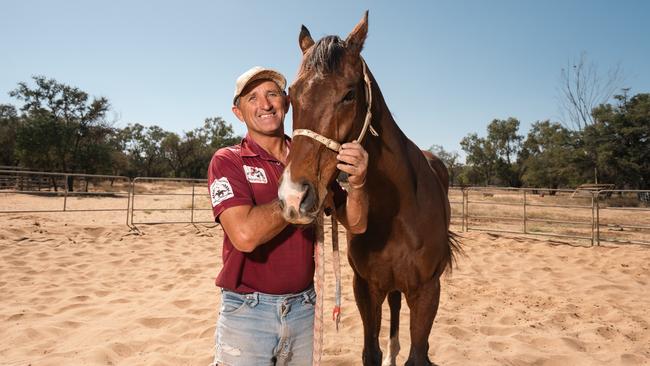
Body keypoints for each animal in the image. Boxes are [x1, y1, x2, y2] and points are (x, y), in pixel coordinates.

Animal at [278, 11, 456, 366]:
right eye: (291, 93)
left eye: (349, 94)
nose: (293, 196)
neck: (397, 210)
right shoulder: (366, 287)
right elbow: (370, 352)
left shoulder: (427, 292)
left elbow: (418, 354)